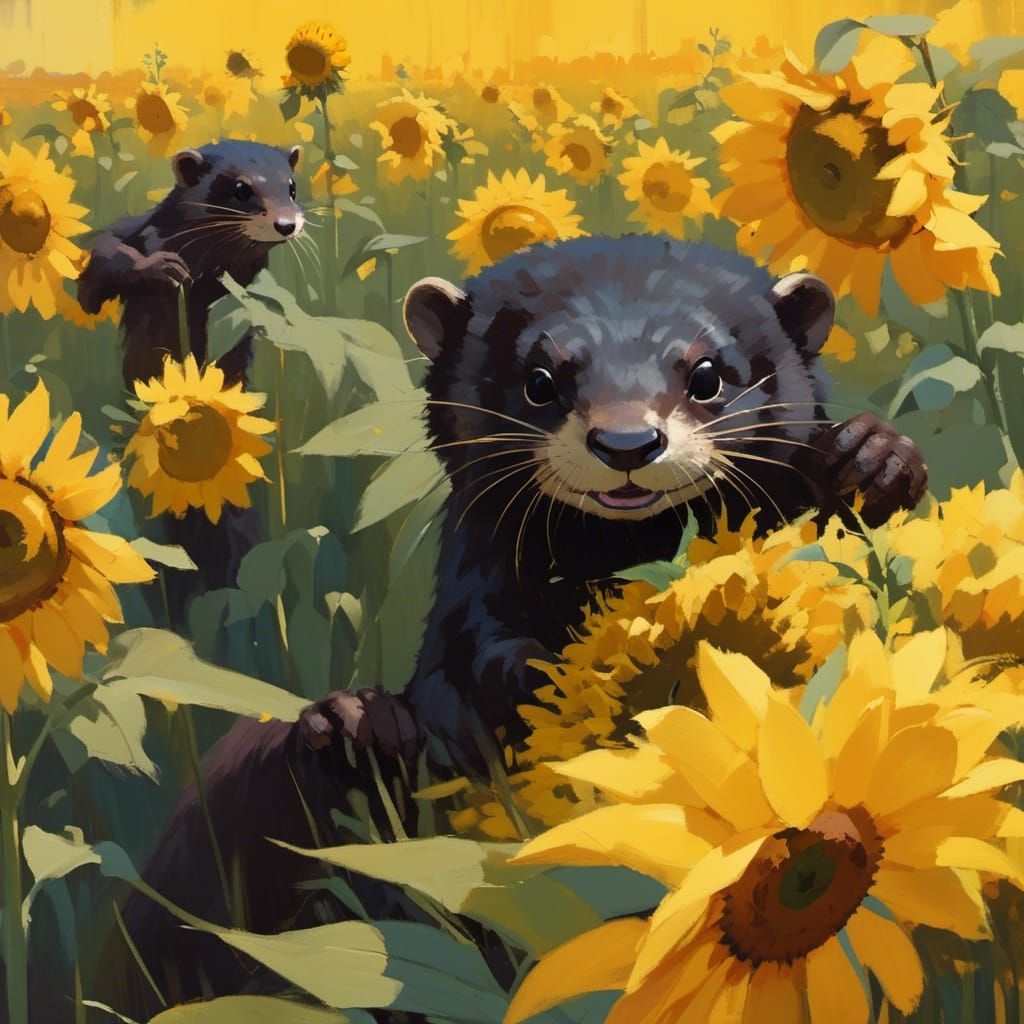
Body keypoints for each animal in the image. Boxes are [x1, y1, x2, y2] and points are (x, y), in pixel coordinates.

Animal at [104, 236, 926, 1018]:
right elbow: (476, 671)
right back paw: (356, 728)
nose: (626, 443)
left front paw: (875, 458)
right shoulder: (472, 606)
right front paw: (542, 677)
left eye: (706, 373)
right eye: (540, 379)